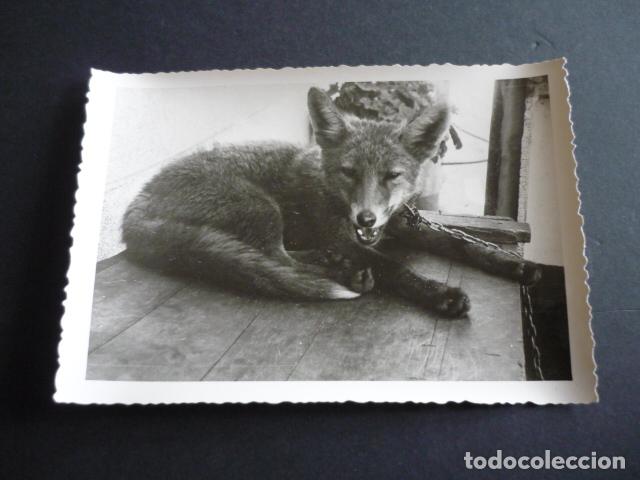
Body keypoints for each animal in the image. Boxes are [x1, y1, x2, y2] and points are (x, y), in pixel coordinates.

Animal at [122, 87, 541, 318]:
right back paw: (341, 272)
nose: (366, 219)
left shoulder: (405, 224)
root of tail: (137, 201)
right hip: (261, 207)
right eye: (349, 172)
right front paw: (438, 293)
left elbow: (460, 243)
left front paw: (511, 264)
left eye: (392, 176)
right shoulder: (340, 234)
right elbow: (390, 265)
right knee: (276, 260)